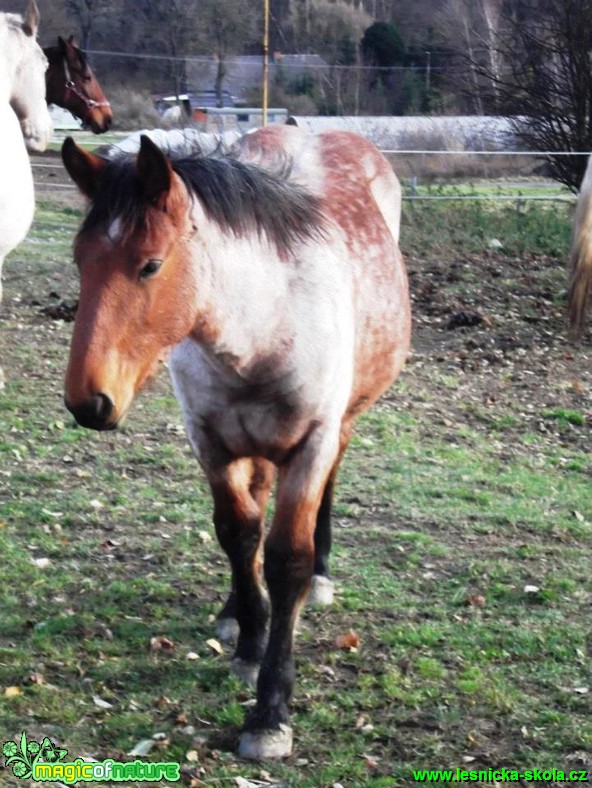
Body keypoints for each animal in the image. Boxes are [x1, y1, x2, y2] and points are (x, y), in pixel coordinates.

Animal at [61, 126, 412, 760]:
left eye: (150, 265)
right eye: (81, 261)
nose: (88, 402)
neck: (268, 322)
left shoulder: (311, 445)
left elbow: (286, 558)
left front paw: (270, 712)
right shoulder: (211, 442)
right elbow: (237, 534)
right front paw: (250, 638)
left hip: (342, 422)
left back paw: (322, 576)